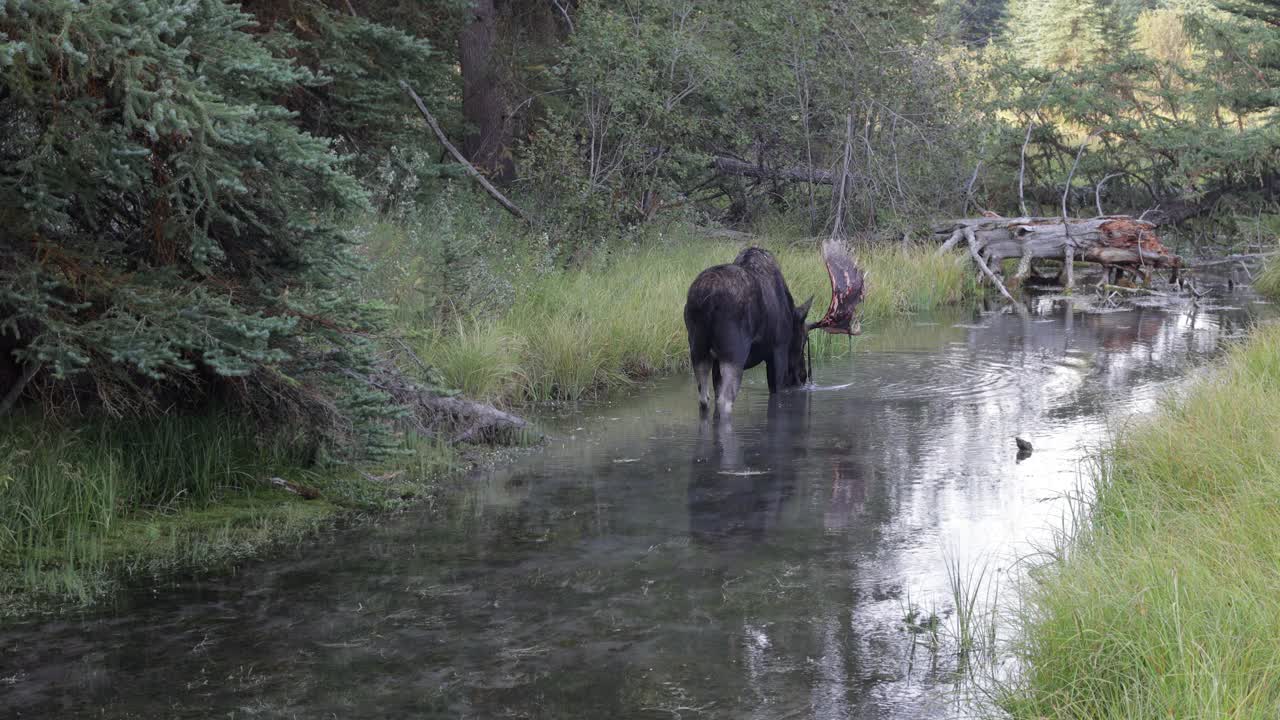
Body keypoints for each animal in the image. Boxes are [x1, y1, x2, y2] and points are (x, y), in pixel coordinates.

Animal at [686, 238, 865, 412]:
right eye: (803, 341)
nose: (802, 376)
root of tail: (706, 299)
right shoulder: (778, 350)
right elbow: (777, 390)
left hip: (698, 349)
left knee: (704, 398)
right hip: (734, 353)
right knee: (725, 399)